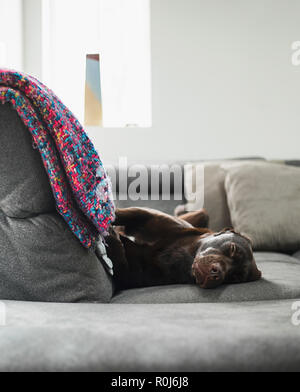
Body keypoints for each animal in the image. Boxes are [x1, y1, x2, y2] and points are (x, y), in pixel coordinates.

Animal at [106, 207, 262, 290]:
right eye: (232, 249)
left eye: (235, 278)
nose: (216, 274)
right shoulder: (146, 215)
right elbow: (120, 214)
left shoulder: (133, 274)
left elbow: (120, 264)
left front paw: (111, 238)